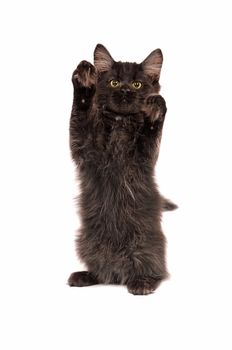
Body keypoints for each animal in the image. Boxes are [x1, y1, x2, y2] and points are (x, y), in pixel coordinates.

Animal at [68, 45, 177, 294]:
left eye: (137, 84)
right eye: (114, 82)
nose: (126, 90)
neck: (120, 122)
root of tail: (118, 275)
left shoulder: (143, 159)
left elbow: (150, 132)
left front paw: (154, 110)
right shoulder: (84, 148)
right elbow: (80, 114)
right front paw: (85, 81)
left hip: (147, 245)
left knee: (157, 271)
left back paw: (142, 282)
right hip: (86, 242)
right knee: (102, 272)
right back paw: (86, 275)